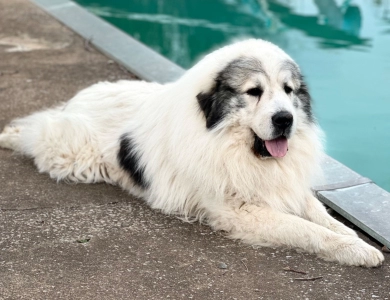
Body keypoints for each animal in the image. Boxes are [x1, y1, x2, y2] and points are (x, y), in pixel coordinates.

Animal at [0, 39, 384, 268]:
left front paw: (348, 234)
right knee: (38, 132)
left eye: (289, 90)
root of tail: (80, 97)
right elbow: (305, 229)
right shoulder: (241, 210)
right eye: (254, 91)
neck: (233, 146)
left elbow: (317, 213)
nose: (285, 119)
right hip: (71, 152)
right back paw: (11, 135)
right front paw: (356, 250)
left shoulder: (285, 185)